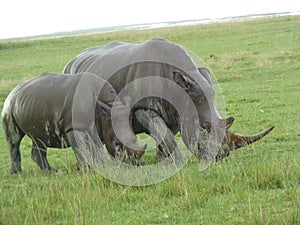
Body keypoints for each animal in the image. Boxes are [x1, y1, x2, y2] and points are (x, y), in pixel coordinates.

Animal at [1, 72, 144, 174]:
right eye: (117, 143)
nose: (135, 163)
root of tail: (14, 91)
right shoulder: (75, 127)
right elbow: (84, 149)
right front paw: (89, 170)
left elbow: (94, 147)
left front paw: (94, 167)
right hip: (8, 105)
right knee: (14, 139)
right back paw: (17, 174)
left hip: (31, 105)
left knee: (39, 139)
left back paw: (52, 172)